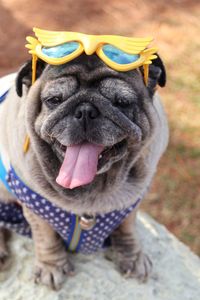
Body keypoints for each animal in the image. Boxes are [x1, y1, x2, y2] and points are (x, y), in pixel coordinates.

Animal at [0, 54, 169, 290]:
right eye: (54, 100)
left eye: (122, 102)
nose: (85, 111)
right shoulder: (35, 208)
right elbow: (45, 236)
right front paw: (52, 266)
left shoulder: (131, 199)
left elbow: (128, 226)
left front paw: (132, 256)